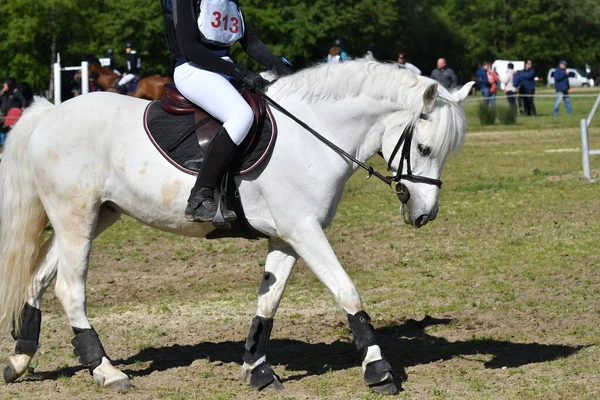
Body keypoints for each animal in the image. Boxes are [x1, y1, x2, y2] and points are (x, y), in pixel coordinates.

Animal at [0, 61, 474, 396]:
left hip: (98, 215)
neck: (314, 136)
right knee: (69, 289)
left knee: (38, 278)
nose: (425, 214)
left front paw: (257, 370)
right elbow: (347, 291)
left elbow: (269, 301)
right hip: (75, 216)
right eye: (424, 148)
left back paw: (20, 361)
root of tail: (49, 114)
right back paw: (107, 371)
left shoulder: (287, 236)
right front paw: (379, 370)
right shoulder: (305, 231)